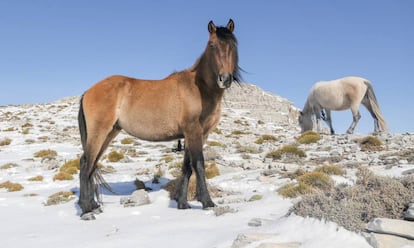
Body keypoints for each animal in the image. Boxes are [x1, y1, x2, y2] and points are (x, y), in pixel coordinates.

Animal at [77, 19, 239, 221]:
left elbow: (187, 167)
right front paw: (207, 202)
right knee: (86, 164)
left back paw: (93, 206)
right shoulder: (194, 132)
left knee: (91, 165)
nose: (225, 79)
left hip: (109, 133)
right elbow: (199, 165)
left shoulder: (195, 135)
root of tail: (88, 91)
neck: (199, 87)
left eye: (233, 45)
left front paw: (182, 204)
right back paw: (87, 210)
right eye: (212, 45)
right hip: (99, 133)